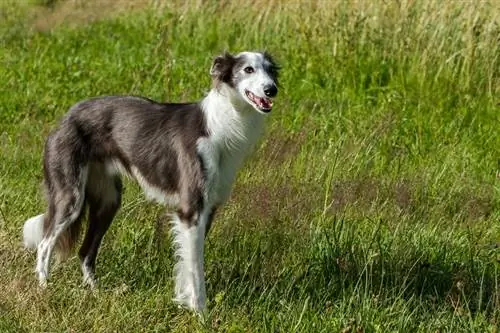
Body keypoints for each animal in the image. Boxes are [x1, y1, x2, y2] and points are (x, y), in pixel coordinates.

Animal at [23, 50, 280, 310]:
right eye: (248, 69)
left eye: (270, 70)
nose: (272, 90)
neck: (220, 125)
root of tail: (65, 118)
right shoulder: (191, 210)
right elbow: (195, 271)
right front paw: (200, 312)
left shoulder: (208, 209)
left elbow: (188, 264)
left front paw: (184, 302)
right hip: (71, 198)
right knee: (44, 245)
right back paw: (45, 290)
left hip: (108, 201)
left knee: (85, 252)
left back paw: (96, 294)